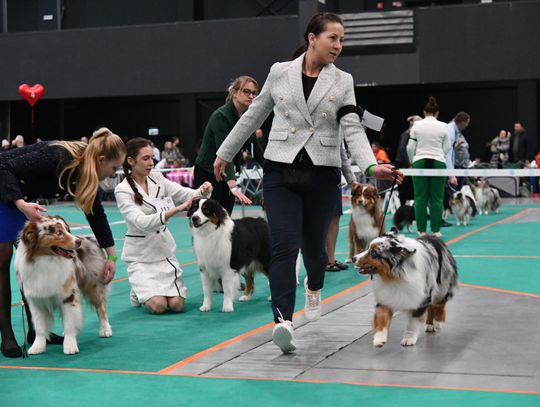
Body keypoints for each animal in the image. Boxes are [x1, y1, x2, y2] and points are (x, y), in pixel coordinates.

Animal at [15, 217, 112, 354]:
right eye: (58, 233)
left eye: (66, 230)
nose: (79, 241)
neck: (45, 260)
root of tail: (90, 238)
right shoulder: (36, 300)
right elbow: (39, 326)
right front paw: (37, 346)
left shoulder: (68, 296)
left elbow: (70, 322)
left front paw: (70, 345)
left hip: (94, 284)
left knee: (101, 307)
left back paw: (105, 329)